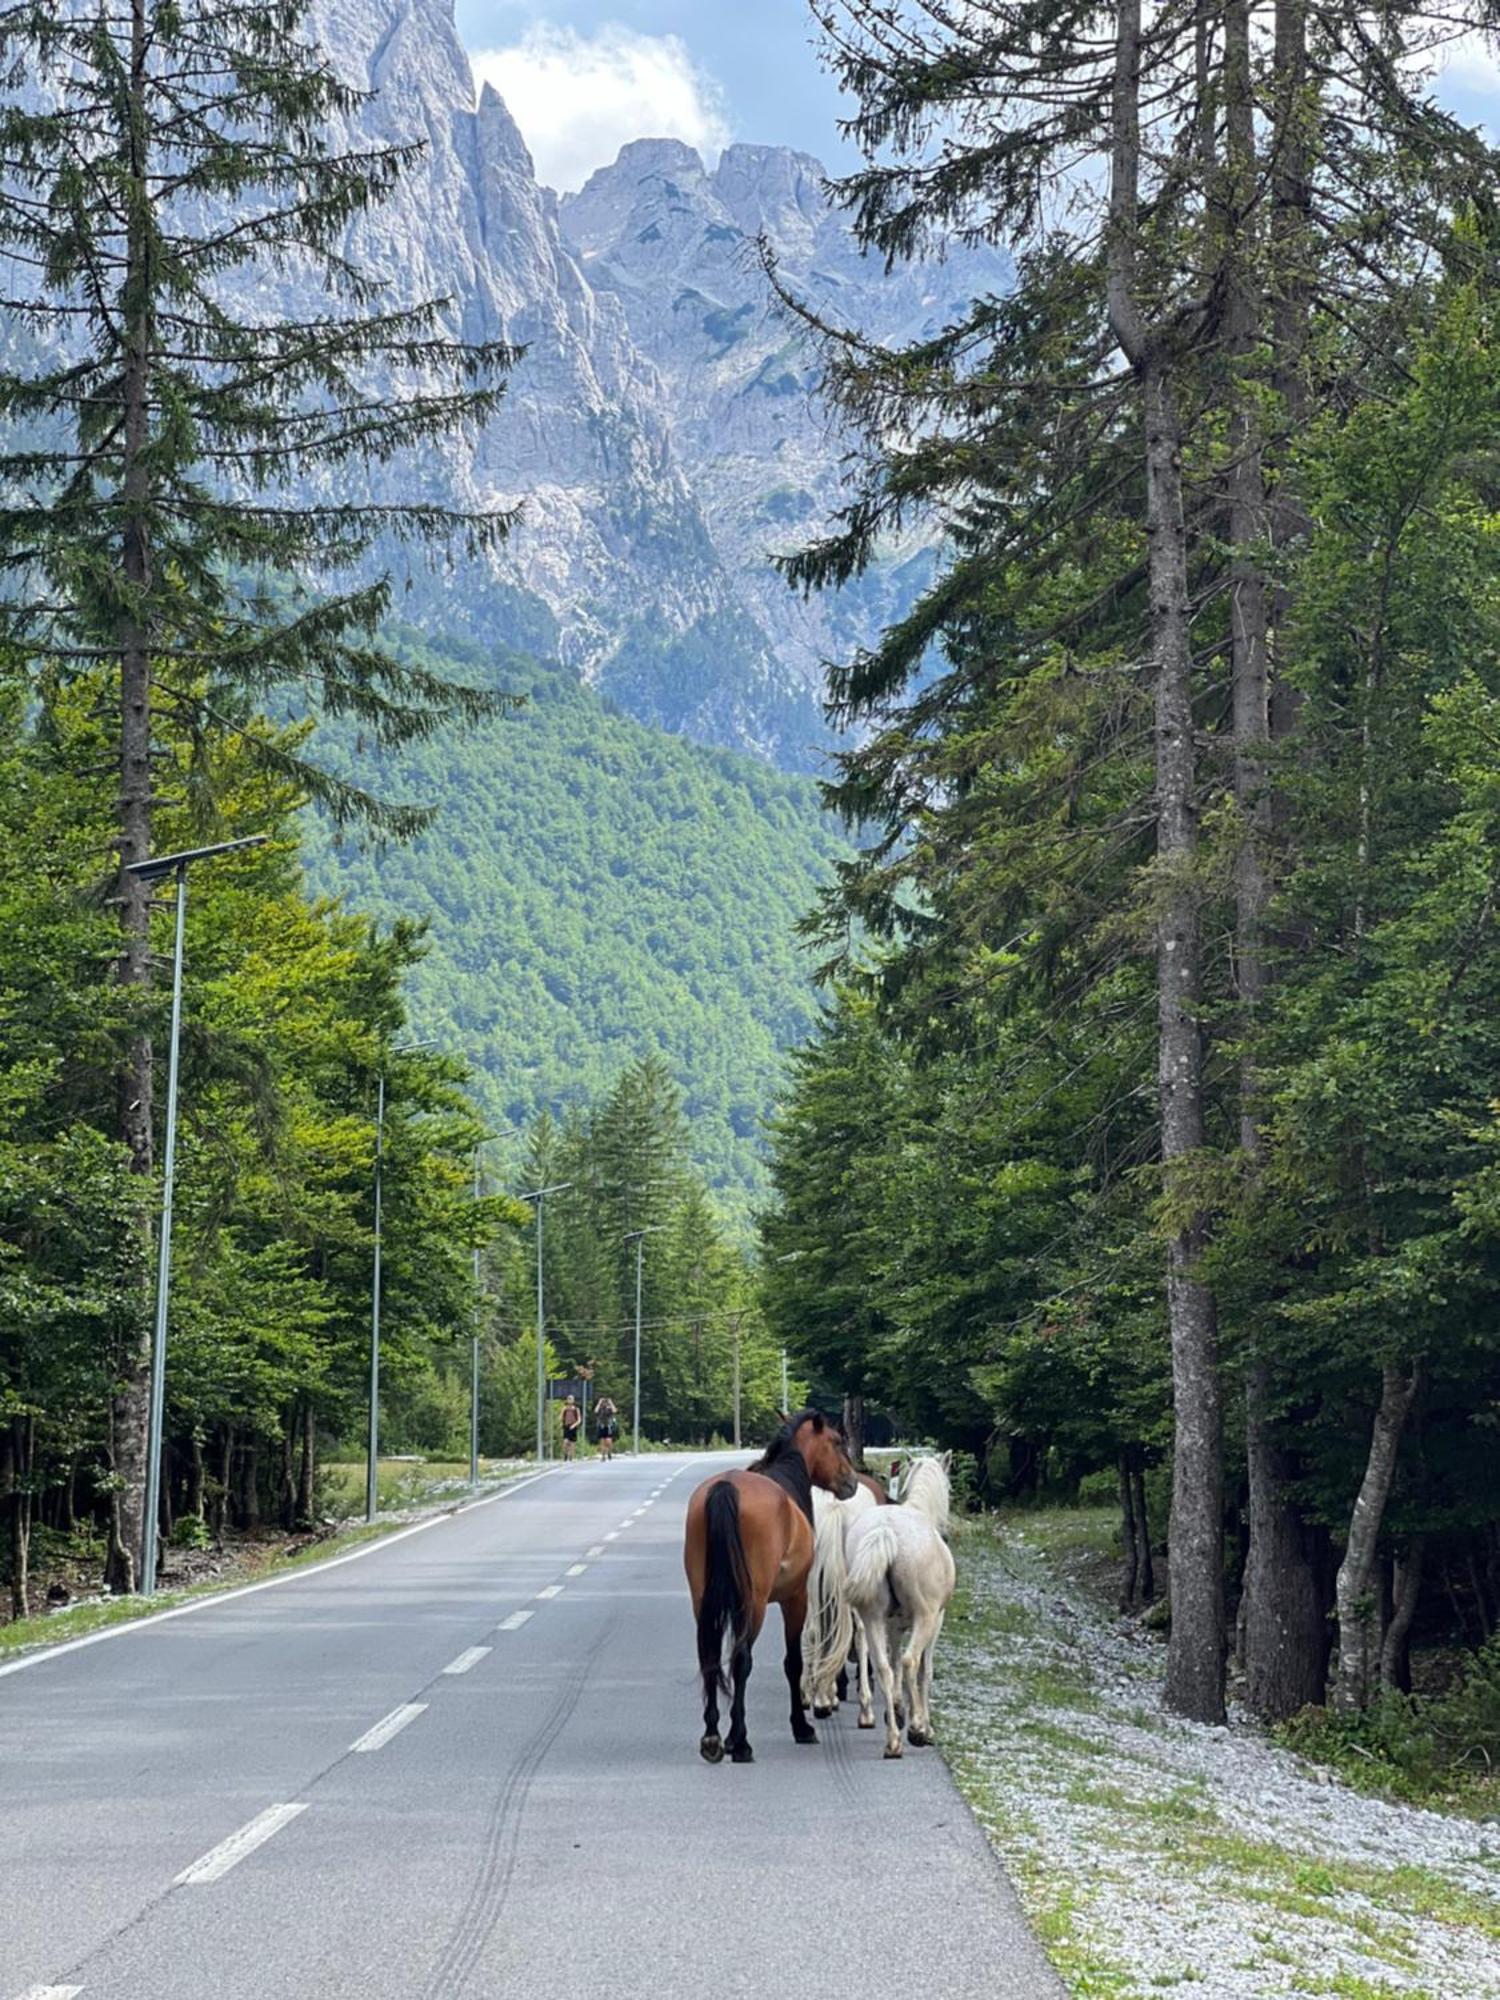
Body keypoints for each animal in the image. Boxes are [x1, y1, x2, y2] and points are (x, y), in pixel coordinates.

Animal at [684, 1408, 856, 1768]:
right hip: (756, 1603)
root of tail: (725, 1487)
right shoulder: (796, 1599)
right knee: (741, 1660)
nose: (851, 1483)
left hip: (703, 1600)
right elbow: (793, 1662)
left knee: (710, 1656)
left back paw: (712, 1738)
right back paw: (741, 1743)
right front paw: (801, 1727)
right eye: (836, 1441)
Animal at [848, 1456, 952, 1752]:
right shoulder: (936, 1620)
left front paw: (896, 1708)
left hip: (872, 1616)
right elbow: (924, 1671)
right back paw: (916, 1731)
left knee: (883, 1665)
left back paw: (893, 1740)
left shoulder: (893, 1623)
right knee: (910, 1662)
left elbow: (892, 1661)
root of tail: (886, 1531)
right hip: (925, 1617)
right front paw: (923, 1724)